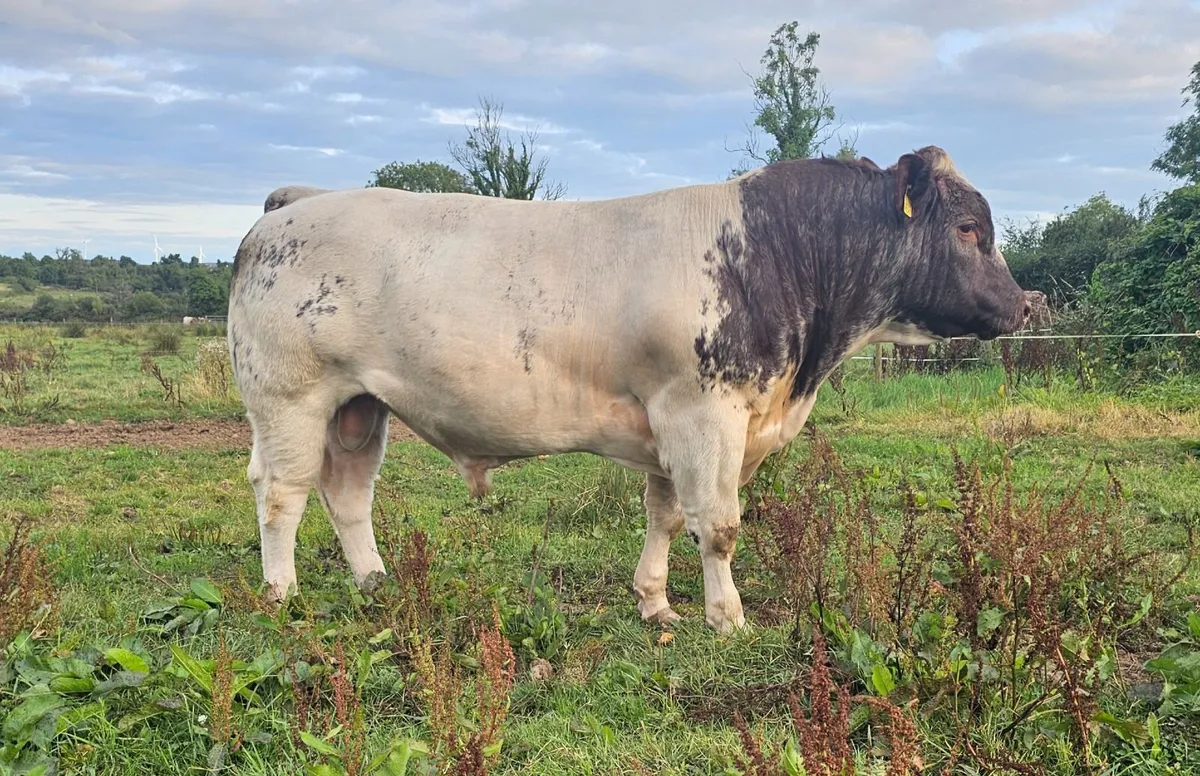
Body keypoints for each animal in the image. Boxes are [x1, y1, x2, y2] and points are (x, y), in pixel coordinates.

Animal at [226, 146, 1035, 634]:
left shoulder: (669, 423)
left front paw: (656, 604)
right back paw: (281, 593)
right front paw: (728, 617)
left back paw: (374, 582)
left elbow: (667, 517)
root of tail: (295, 202)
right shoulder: (704, 412)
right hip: (289, 397)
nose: (1022, 306)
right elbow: (719, 524)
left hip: (360, 407)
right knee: (282, 492)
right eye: (969, 227)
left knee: (348, 492)